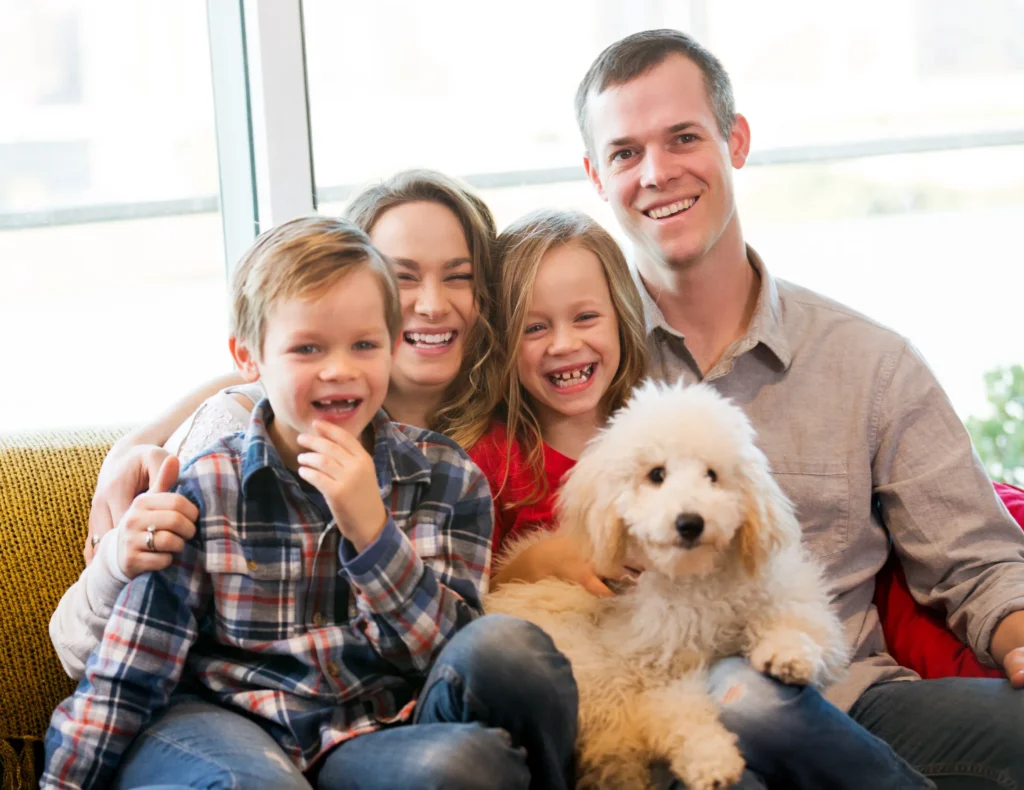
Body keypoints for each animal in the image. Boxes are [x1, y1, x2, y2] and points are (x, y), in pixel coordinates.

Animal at [485, 379, 847, 786]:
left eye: (712, 475)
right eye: (656, 474)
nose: (690, 523)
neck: (691, 579)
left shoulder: (785, 591)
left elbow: (802, 622)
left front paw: (788, 654)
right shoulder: (651, 675)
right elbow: (679, 711)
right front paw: (711, 760)